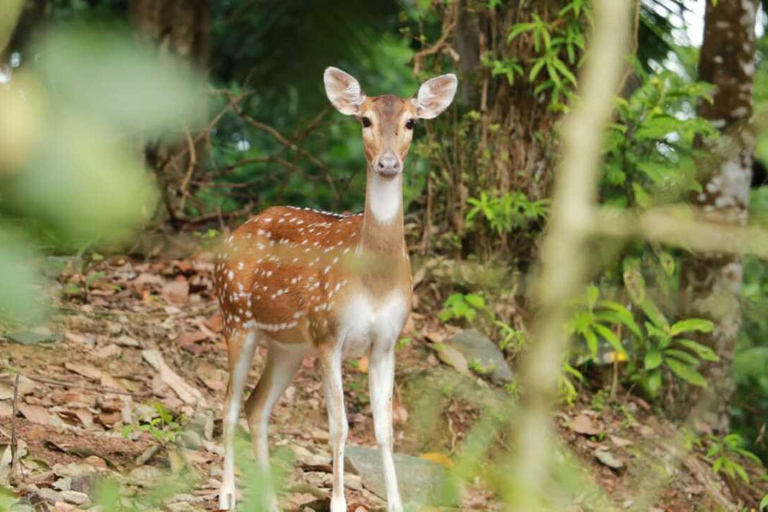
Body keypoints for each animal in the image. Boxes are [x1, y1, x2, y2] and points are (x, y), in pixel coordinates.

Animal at [213, 66, 457, 511]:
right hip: (236, 316)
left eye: (411, 122)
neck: (374, 284)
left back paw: (269, 500)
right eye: (365, 120)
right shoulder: (330, 334)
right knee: (231, 405)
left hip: (288, 345)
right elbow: (339, 426)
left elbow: (385, 430)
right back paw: (227, 494)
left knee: (257, 408)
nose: (388, 163)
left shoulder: (386, 342)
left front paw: (396, 504)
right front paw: (339, 503)